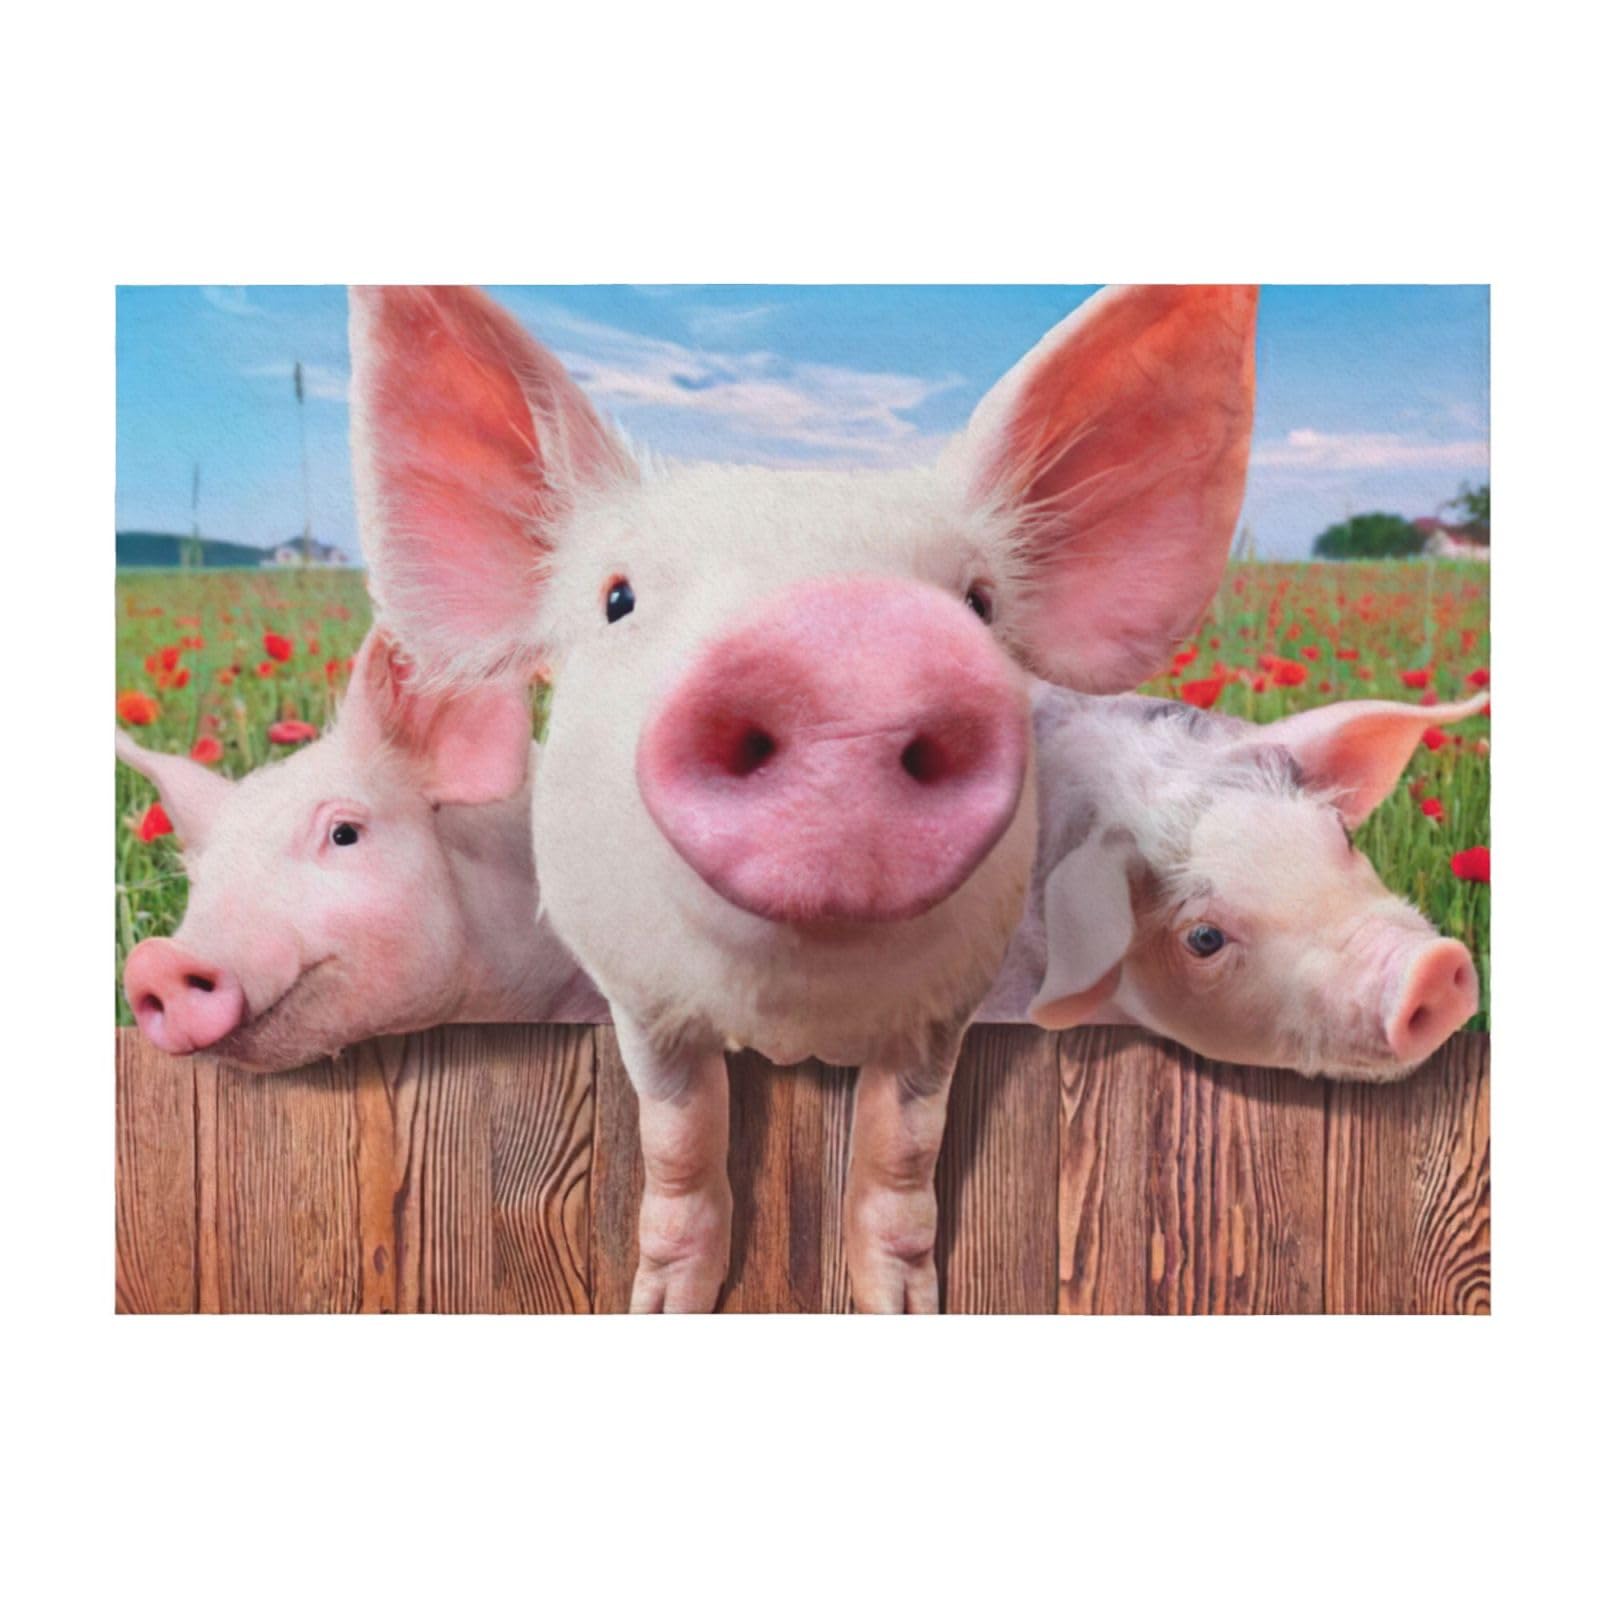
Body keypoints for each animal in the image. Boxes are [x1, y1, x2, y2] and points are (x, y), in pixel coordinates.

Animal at [349, 283, 1258, 1312]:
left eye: (979, 603)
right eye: (617, 599)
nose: (846, 644)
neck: (791, 1013)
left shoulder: (949, 1004)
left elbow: (904, 1148)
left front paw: (903, 1304)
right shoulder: (637, 997)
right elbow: (678, 1138)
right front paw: (663, 1303)